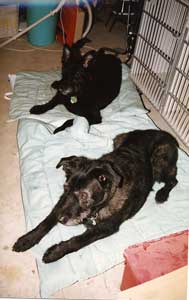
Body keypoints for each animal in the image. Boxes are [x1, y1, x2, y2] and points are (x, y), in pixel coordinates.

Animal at [13, 129, 179, 262]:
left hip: (159, 162)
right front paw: (28, 239)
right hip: (118, 139)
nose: (61, 220)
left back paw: (162, 194)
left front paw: (55, 252)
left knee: (173, 180)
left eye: (84, 196)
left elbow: (78, 241)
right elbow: (47, 220)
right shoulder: (62, 202)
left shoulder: (106, 227)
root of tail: (166, 134)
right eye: (66, 189)